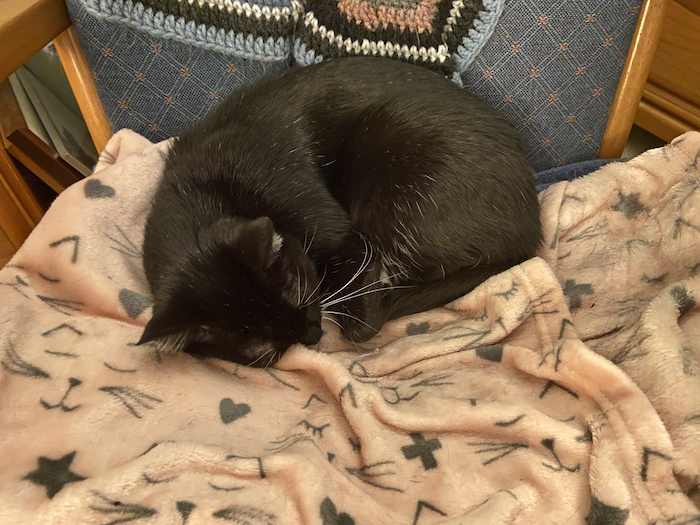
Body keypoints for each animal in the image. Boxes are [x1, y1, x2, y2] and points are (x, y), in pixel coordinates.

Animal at [137, 56, 540, 364]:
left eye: (299, 292)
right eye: (261, 349)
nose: (313, 336)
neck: (200, 188)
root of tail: (531, 232)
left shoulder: (337, 228)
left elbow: (360, 314)